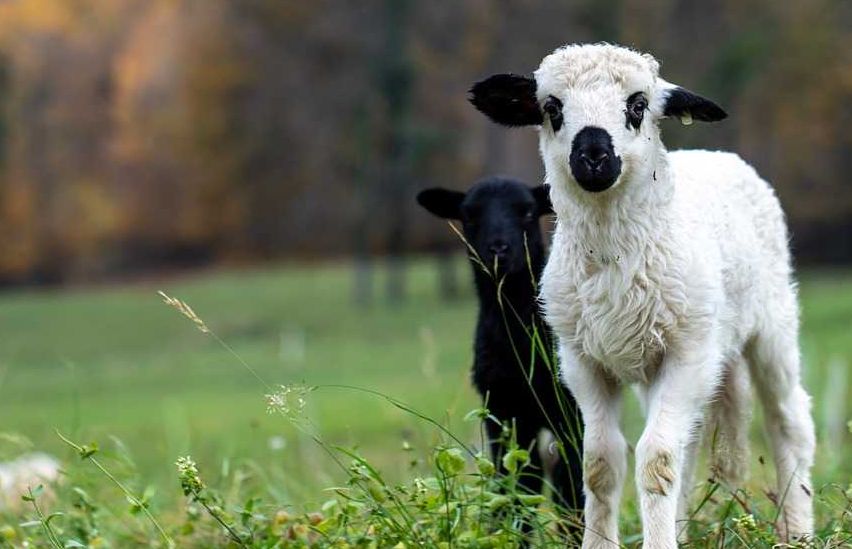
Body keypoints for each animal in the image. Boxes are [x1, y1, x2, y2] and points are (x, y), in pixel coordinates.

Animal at [417, 177, 585, 526]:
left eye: (528, 212)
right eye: (469, 215)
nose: (498, 249)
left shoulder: (569, 409)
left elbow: (571, 484)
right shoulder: (501, 409)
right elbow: (514, 485)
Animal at [469, 43, 815, 548]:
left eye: (638, 105)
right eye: (552, 107)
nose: (593, 155)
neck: (614, 259)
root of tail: (715, 154)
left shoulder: (687, 353)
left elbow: (655, 461)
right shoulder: (581, 361)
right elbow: (600, 462)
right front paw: (600, 542)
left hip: (771, 325)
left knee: (788, 422)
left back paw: (798, 528)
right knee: (690, 441)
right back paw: (684, 528)